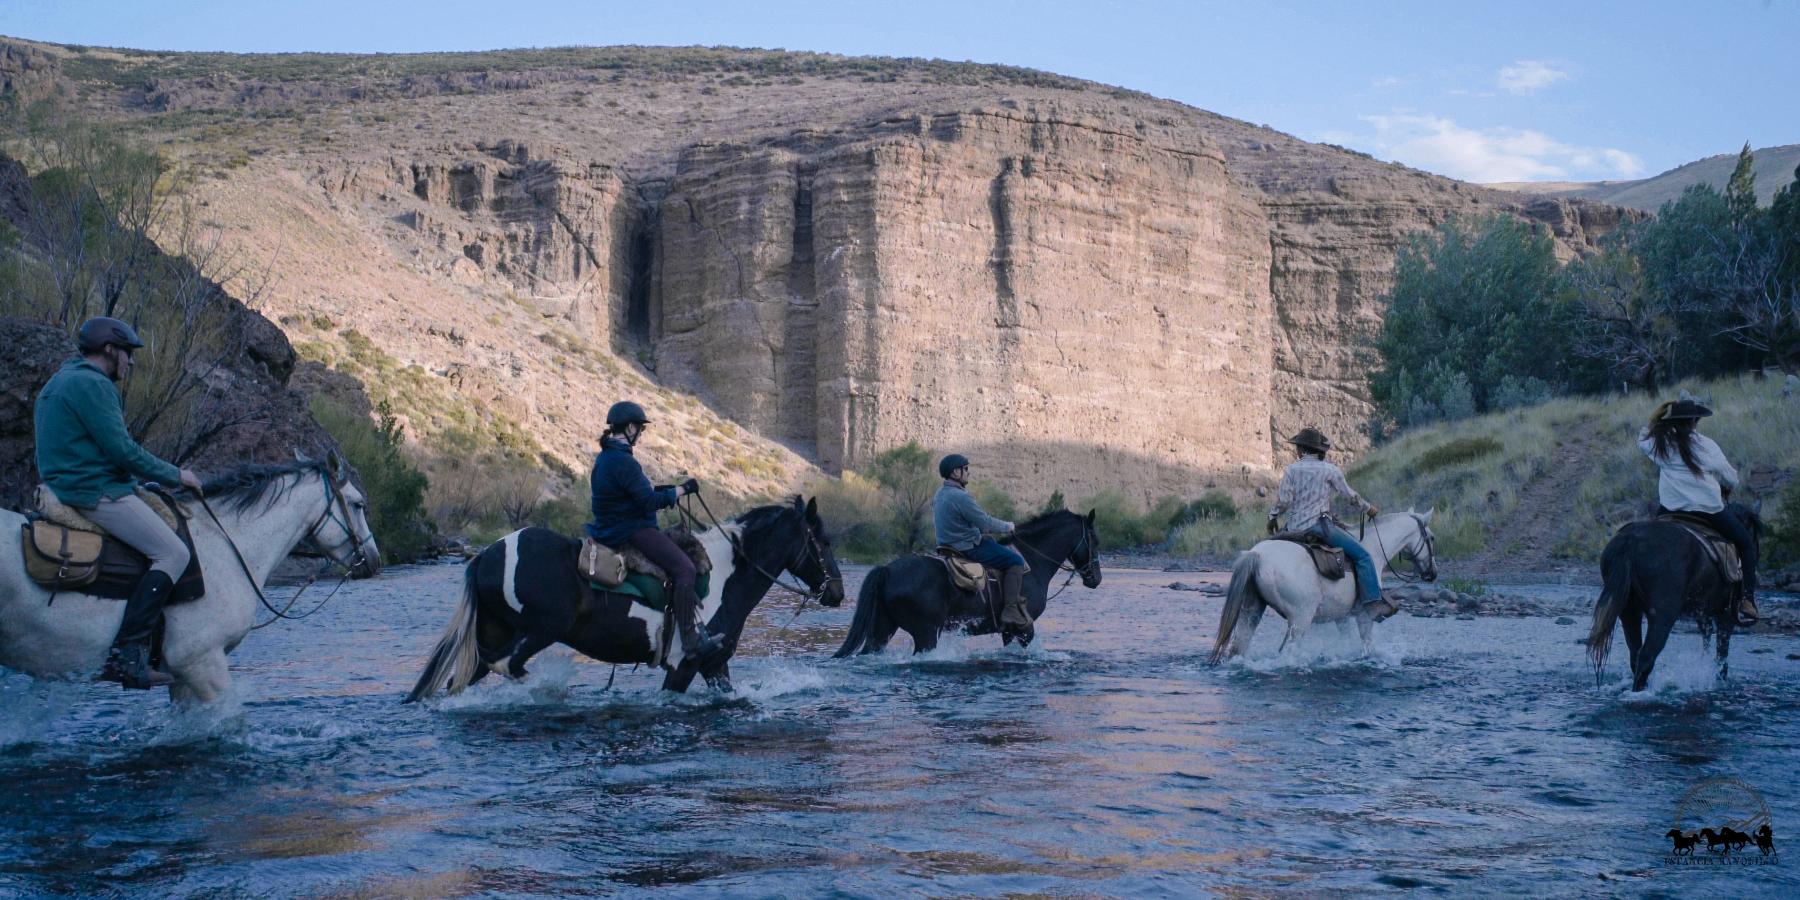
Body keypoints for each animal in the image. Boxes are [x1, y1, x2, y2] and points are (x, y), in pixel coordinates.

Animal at [408, 496, 842, 698]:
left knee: (466, 678)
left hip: (494, 634)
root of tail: (486, 555)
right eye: (823, 541)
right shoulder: (685, 664)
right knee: (507, 665)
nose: (837, 592)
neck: (725, 574)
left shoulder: (715, 664)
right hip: (542, 630)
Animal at [835, 511, 1101, 658]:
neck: (1032, 561)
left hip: (882, 629)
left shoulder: (1008, 631)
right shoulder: (1023, 627)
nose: (1095, 578)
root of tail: (888, 570)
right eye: (1094, 540)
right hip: (926, 633)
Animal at [1202, 511, 1440, 666]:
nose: (1433, 573)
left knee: (1239, 646)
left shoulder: (1341, 616)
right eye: (1432, 537)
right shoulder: (1363, 614)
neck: (1373, 549)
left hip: (1251, 610)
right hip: (1300, 618)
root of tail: (1256, 555)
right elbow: (1366, 643)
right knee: (1287, 650)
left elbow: (1347, 641)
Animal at [1591, 504, 1756, 691]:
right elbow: (1722, 654)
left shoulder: (1703, 613)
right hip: (1663, 616)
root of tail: (1630, 541)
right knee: (1646, 656)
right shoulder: (1725, 615)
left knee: (1635, 653)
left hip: (1629, 612)